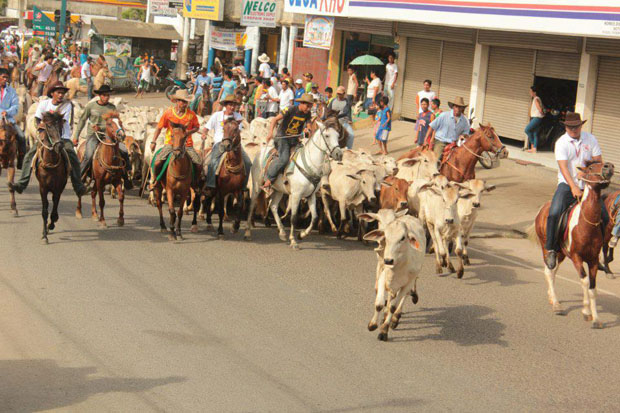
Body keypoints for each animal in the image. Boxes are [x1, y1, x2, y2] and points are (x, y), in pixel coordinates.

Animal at [245, 116, 346, 248]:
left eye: (338, 135)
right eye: (327, 135)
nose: (339, 154)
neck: (308, 164)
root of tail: (261, 151)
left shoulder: (311, 195)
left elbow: (314, 217)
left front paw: (301, 235)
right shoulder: (296, 195)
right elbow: (293, 218)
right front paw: (293, 240)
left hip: (279, 190)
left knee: (273, 206)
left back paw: (282, 232)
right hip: (256, 186)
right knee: (252, 206)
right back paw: (247, 233)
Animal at [364, 211, 426, 340]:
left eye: (402, 238)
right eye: (386, 237)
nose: (388, 260)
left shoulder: (407, 283)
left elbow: (393, 306)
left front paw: (384, 331)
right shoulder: (383, 277)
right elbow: (379, 304)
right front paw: (372, 325)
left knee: (402, 298)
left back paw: (396, 317)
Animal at [528, 161, 616, 328]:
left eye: (602, 162)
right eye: (590, 168)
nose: (609, 167)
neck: (587, 223)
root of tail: (543, 208)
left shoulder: (593, 260)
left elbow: (592, 288)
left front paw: (596, 319)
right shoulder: (577, 257)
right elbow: (585, 281)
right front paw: (586, 312)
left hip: (560, 253)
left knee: (553, 272)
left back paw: (551, 297)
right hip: (547, 248)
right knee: (548, 271)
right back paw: (556, 304)